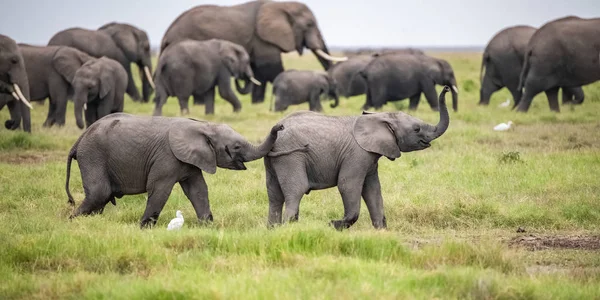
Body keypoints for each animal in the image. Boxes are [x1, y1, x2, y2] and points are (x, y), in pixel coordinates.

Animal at [65, 112, 302, 227]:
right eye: (235, 147)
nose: (280, 126)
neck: (203, 125)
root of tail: (78, 141)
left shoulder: (191, 160)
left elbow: (198, 190)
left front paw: (207, 226)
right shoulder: (167, 157)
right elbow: (160, 189)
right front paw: (143, 228)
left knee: (101, 198)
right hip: (92, 155)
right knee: (99, 193)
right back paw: (71, 221)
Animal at [159, 0, 346, 104]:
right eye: (309, 25)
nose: (329, 99)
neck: (281, 5)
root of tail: (167, 34)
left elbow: (260, 73)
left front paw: (257, 103)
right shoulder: (263, 38)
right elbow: (270, 69)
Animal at [266, 86, 450, 230]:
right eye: (416, 129)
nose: (447, 88)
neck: (380, 116)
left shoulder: (370, 159)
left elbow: (373, 190)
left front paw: (382, 232)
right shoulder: (356, 155)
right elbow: (348, 185)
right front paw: (332, 225)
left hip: (274, 161)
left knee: (274, 194)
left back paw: (273, 230)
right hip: (291, 156)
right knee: (297, 190)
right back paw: (288, 228)